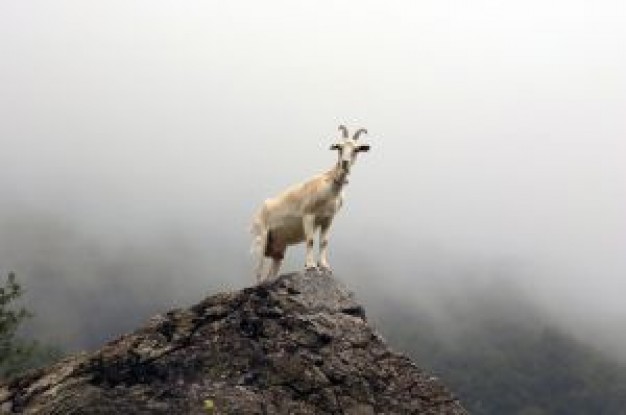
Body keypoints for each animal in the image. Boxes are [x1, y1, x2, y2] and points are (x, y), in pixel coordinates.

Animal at [250, 127, 368, 282]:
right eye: (339, 147)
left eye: (356, 149)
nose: (345, 162)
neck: (329, 188)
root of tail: (255, 217)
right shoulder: (308, 215)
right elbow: (310, 240)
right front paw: (310, 266)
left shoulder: (328, 219)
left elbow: (324, 242)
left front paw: (324, 266)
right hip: (262, 240)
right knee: (258, 272)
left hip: (278, 249)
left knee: (272, 272)